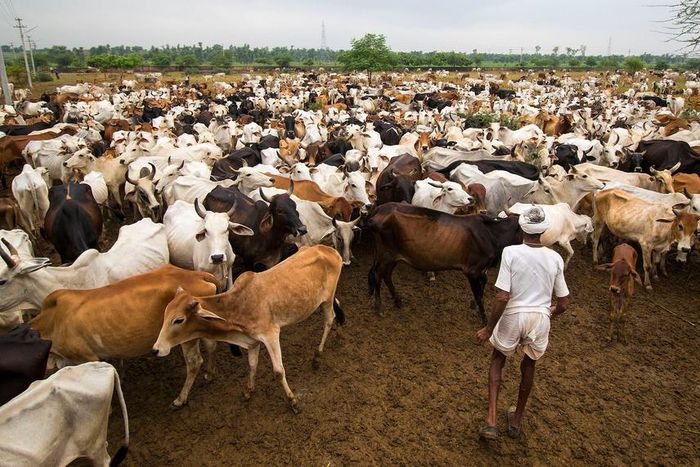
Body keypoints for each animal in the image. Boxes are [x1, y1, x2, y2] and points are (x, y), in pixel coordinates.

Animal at [30, 265, 219, 406]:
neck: (51, 321)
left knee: (194, 363)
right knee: (211, 346)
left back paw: (180, 399)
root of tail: (196, 274)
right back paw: (209, 374)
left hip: (187, 337)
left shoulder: (86, 357)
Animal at [151, 245, 344, 414]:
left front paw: (293, 401)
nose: (156, 349)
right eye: (165, 314)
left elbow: (278, 371)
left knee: (329, 319)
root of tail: (328, 249)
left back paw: (317, 356)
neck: (238, 304)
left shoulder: (271, 334)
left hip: (327, 299)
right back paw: (339, 333)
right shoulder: (253, 341)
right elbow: (252, 365)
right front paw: (248, 391)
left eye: (179, 320)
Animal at [367, 203, 522, 323]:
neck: (492, 235)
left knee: (386, 275)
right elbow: (479, 296)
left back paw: (397, 301)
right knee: (377, 274)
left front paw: (474, 307)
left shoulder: (483, 270)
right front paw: (484, 319)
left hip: (393, 257)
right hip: (386, 255)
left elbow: (481, 290)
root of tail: (380, 208)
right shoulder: (472, 271)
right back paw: (379, 307)